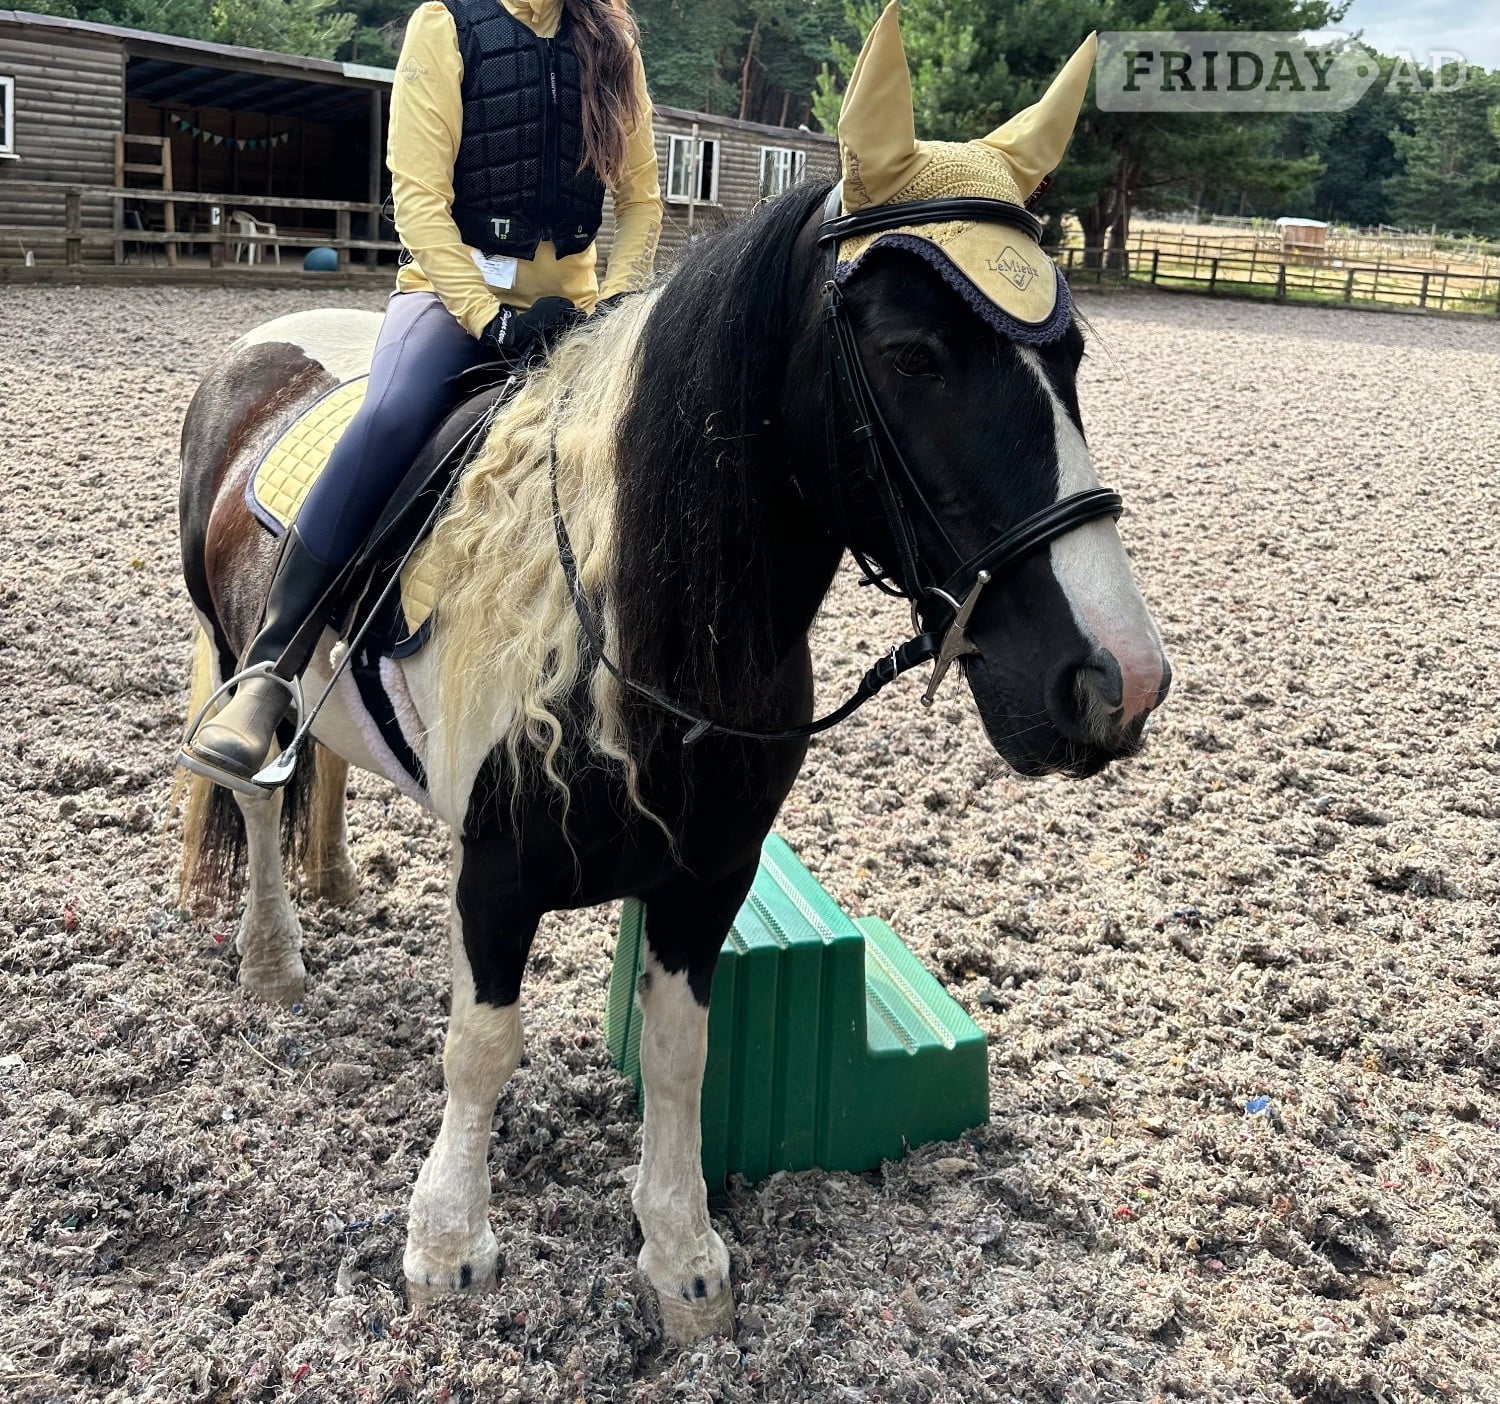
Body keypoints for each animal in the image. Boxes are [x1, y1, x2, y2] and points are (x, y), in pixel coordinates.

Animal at [174, 16, 1170, 1343]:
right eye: (912, 355)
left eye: (1069, 355)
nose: (1117, 679)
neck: (630, 617)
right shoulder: (497, 874)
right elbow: (479, 1049)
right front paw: (448, 1245)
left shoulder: (710, 875)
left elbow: (679, 1055)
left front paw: (682, 1257)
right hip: (236, 652)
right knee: (259, 786)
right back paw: (275, 958)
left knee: (320, 769)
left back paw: (332, 885)